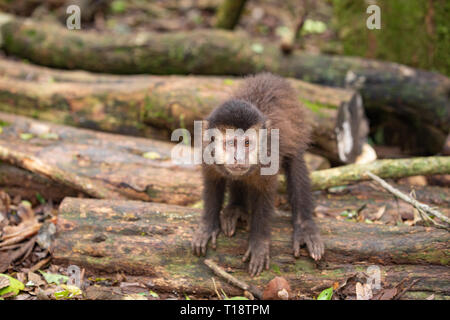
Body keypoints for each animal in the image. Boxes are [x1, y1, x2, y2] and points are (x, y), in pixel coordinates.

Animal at [190, 72, 324, 276]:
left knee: (296, 163)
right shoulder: (207, 150)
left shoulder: (269, 155)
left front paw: (259, 244)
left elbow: (264, 195)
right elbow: (213, 182)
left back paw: (304, 226)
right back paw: (236, 208)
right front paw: (207, 226)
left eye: (246, 143)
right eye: (231, 143)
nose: (238, 158)